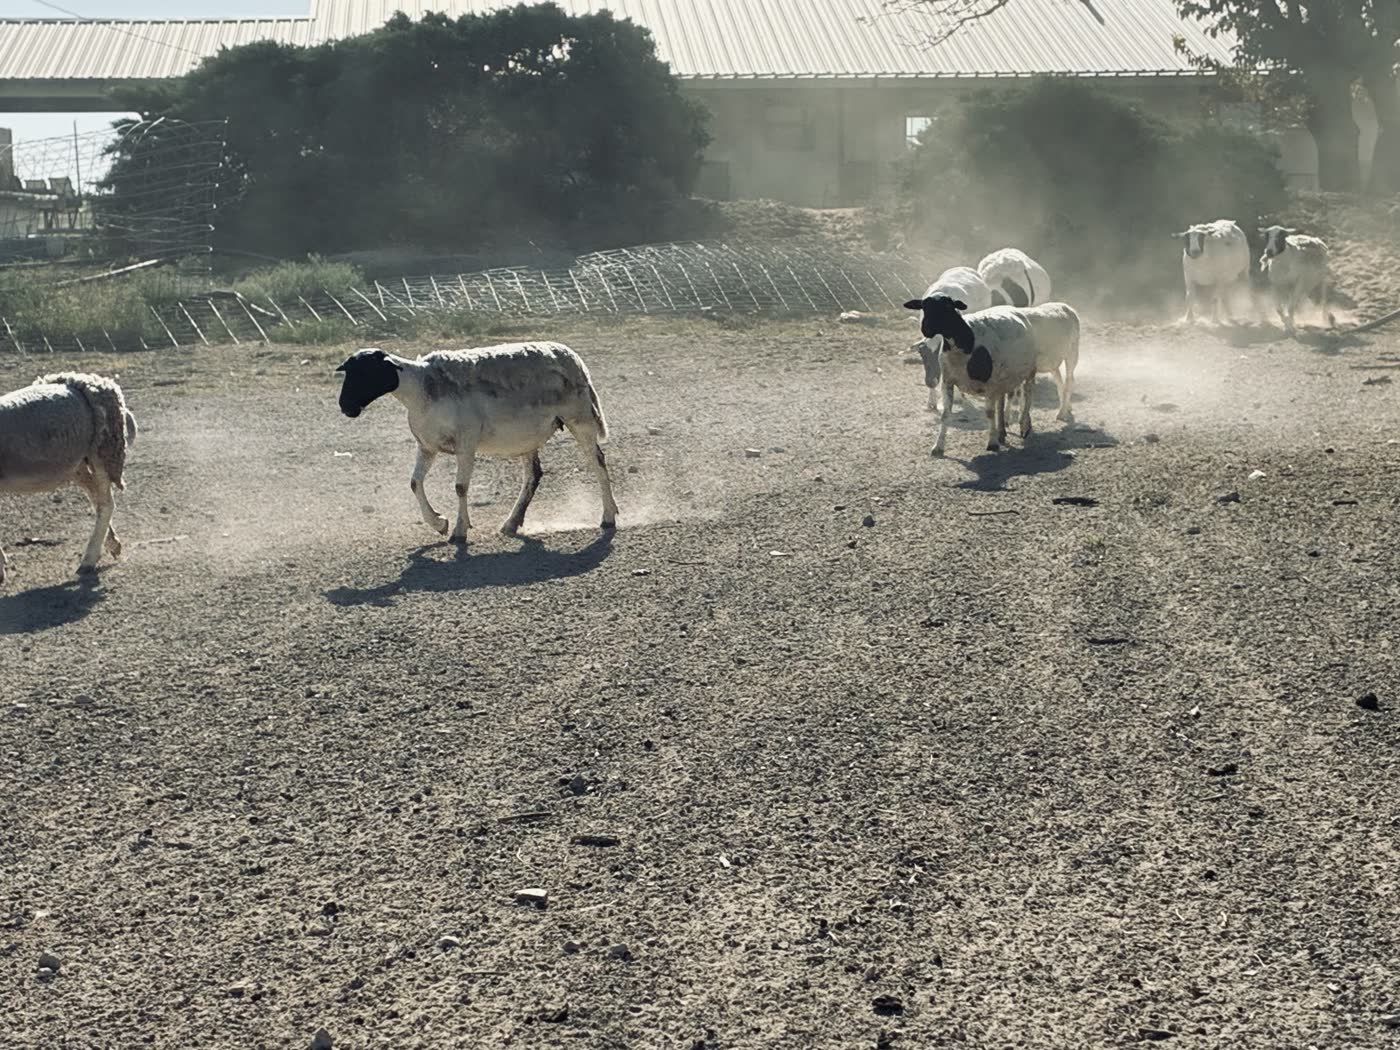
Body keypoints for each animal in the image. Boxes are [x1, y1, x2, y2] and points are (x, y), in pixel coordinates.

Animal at [0, 372, 138, 585]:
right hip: (77, 464)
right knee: (96, 498)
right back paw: (112, 544)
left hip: (101, 451)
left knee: (105, 504)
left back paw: (89, 559)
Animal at [335, 342, 618, 541]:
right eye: (349, 372)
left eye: (366, 371)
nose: (345, 407)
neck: (421, 389)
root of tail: (574, 359)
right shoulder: (427, 446)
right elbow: (415, 483)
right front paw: (439, 523)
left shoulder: (466, 443)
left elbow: (460, 487)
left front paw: (459, 531)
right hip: (528, 436)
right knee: (533, 475)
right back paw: (511, 523)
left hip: (580, 419)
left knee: (597, 463)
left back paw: (608, 517)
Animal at [903, 294, 1037, 456]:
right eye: (924, 307)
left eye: (948, 306)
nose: (926, 329)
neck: (964, 344)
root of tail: (1013, 309)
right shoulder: (947, 381)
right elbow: (945, 414)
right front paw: (938, 446)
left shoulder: (989, 384)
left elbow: (989, 413)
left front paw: (992, 443)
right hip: (1002, 379)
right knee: (1001, 402)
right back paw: (1001, 432)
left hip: (1029, 371)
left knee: (1027, 397)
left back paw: (1024, 425)